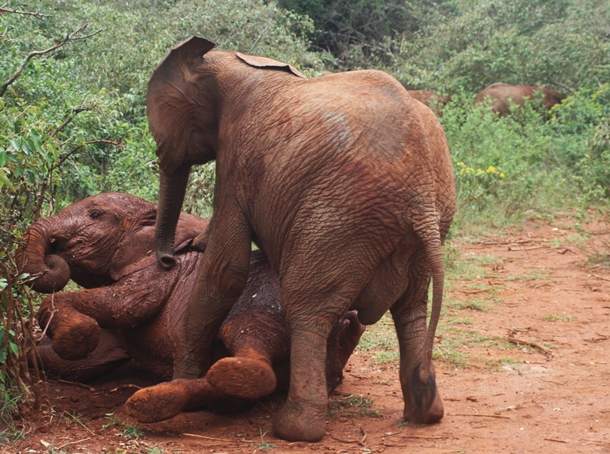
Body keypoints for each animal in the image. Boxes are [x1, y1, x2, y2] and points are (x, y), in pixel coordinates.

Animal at [16, 193, 364, 420]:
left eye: (95, 216)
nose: (52, 256)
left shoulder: (158, 274)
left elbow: (124, 305)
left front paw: (77, 337)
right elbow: (88, 360)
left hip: (274, 310)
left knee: (246, 343)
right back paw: (157, 403)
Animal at [145, 37, 454, 442]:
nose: (168, 259)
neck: (226, 60)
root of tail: (421, 193)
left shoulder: (238, 159)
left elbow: (224, 271)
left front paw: (178, 381)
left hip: (340, 217)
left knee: (306, 308)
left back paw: (294, 429)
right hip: (419, 224)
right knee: (412, 308)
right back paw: (425, 413)